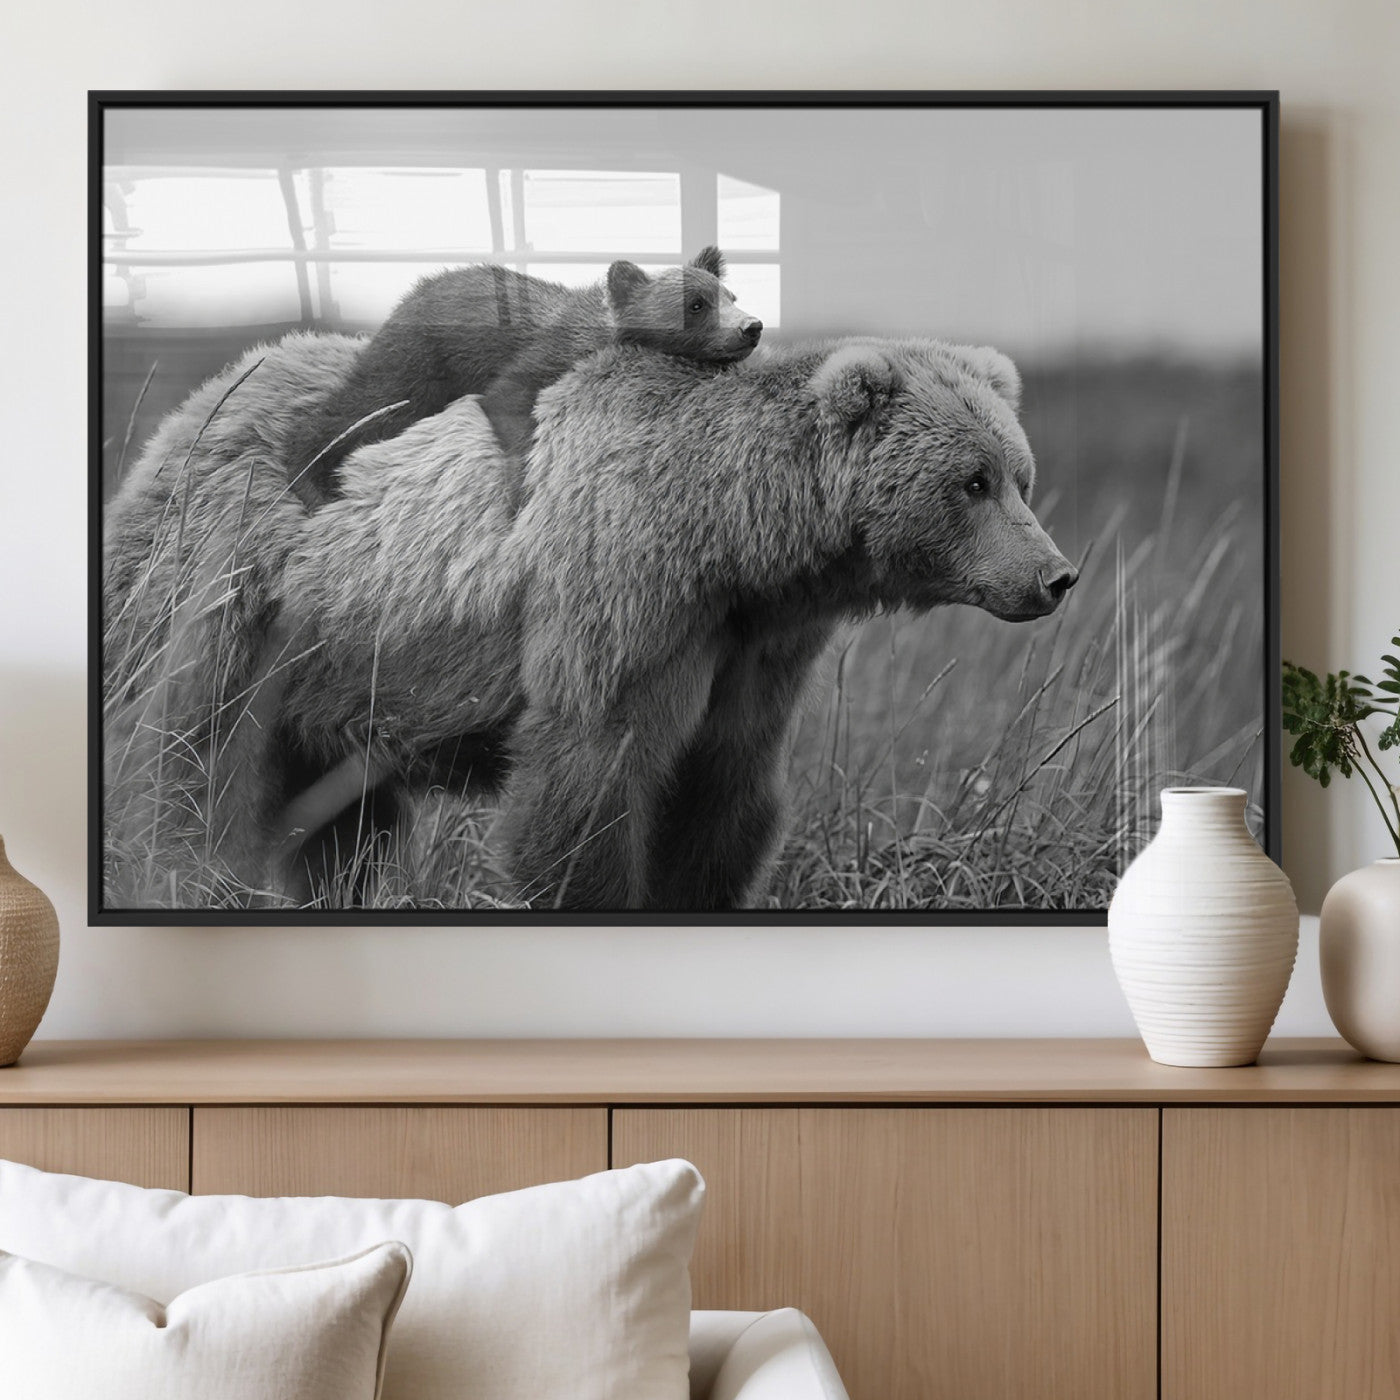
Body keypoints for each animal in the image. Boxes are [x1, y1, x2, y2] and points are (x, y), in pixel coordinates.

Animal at [101, 331, 1077, 912]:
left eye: (1020, 474)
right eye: (973, 481)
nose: (1055, 575)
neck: (735, 539)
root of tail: (199, 402)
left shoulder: (753, 647)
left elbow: (723, 791)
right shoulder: (624, 595)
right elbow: (591, 780)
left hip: (343, 670)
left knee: (340, 819)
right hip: (236, 593)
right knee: (191, 757)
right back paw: (181, 872)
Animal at [284, 247, 762, 509]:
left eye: (730, 294)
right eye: (695, 303)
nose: (751, 326)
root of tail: (407, 295)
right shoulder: (537, 358)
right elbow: (508, 400)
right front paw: (520, 490)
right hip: (416, 365)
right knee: (361, 407)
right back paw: (312, 481)